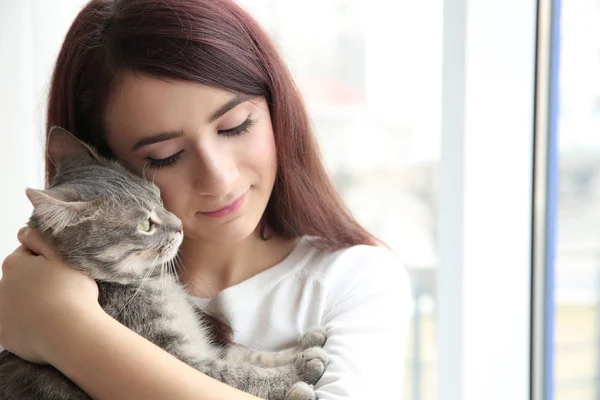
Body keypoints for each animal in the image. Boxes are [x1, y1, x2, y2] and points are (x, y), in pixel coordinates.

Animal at [0, 128, 328, 400]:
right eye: (146, 224)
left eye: (159, 197)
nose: (179, 225)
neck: (153, 283)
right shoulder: (177, 357)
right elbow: (234, 374)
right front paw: (298, 372)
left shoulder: (200, 345)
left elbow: (244, 356)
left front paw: (300, 347)